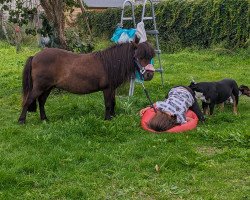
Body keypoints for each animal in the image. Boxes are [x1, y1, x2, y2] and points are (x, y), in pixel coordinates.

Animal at [18, 41, 154, 123]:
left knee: (41, 102)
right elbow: (108, 104)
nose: (149, 75)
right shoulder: (107, 89)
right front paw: (107, 119)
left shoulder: (112, 89)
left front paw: (113, 117)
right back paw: (21, 121)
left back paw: (44, 119)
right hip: (40, 87)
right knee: (28, 100)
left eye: (150, 57)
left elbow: (113, 102)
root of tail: (35, 56)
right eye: (138, 56)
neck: (110, 63)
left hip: (48, 87)